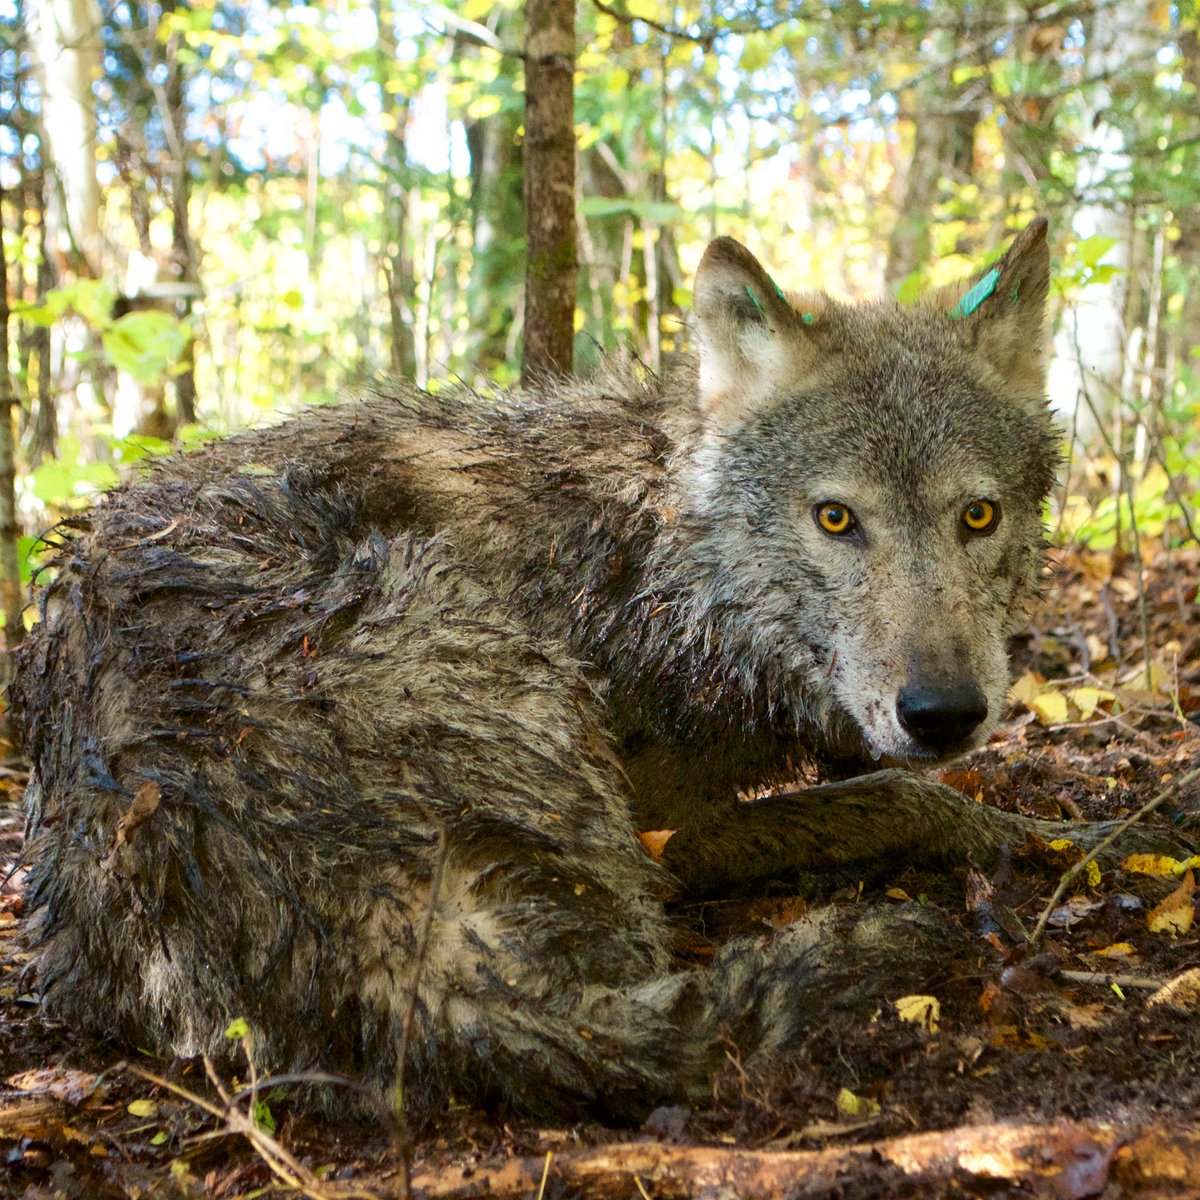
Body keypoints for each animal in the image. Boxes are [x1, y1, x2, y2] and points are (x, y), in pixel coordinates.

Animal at [12, 218, 1145, 1119]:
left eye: (978, 516)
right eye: (836, 519)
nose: (943, 712)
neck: (672, 564)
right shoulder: (672, 832)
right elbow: (906, 801)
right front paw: (1085, 834)